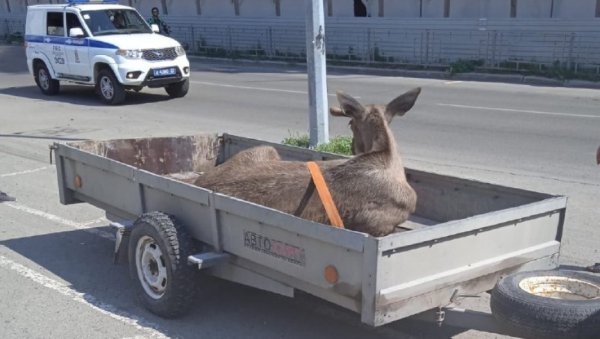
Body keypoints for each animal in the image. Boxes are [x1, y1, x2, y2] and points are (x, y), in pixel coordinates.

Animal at [195, 87, 420, 238]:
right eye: (350, 123)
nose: (353, 148)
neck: (388, 155)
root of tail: (199, 182)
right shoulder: (376, 225)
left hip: (265, 149)